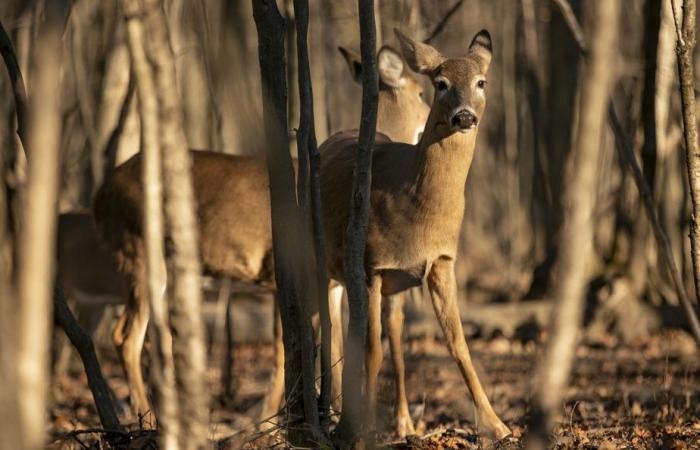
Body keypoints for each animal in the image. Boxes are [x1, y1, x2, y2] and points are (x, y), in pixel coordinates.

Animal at [90, 45, 430, 426]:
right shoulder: (293, 273)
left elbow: (334, 347)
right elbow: (289, 349)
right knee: (125, 337)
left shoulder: (332, 284)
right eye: (422, 92)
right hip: (138, 250)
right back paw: (144, 415)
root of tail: (101, 194)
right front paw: (271, 417)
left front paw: (332, 413)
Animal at [320, 29, 512, 440]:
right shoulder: (372, 265)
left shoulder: (440, 261)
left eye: (481, 82)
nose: (464, 115)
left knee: (374, 336)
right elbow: (371, 350)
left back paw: (398, 422)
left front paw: (498, 425)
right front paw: (365, 431)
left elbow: (457, 344)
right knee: (323, 330)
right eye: (439, 84)